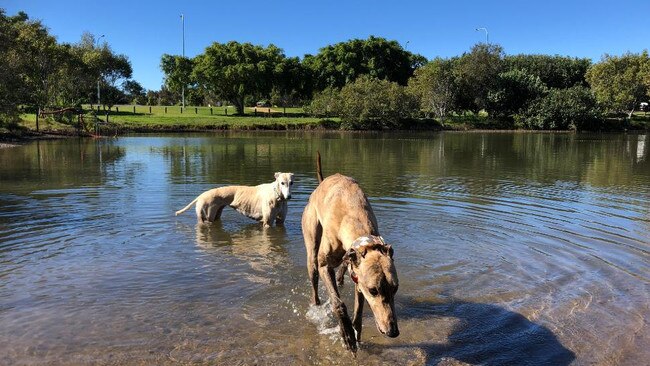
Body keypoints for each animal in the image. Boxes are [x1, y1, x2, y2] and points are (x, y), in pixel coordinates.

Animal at [302, 152, 398, 352]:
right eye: (373, 290)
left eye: (395, 287)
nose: (393, 332)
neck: (354, 215)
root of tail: (321, 183)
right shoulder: (325, 266)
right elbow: (338, 303)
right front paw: (346, 334)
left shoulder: (358, 276)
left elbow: (358, 311)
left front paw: (356, 334)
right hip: (312, 246)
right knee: (314, 276)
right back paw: (316, 304)